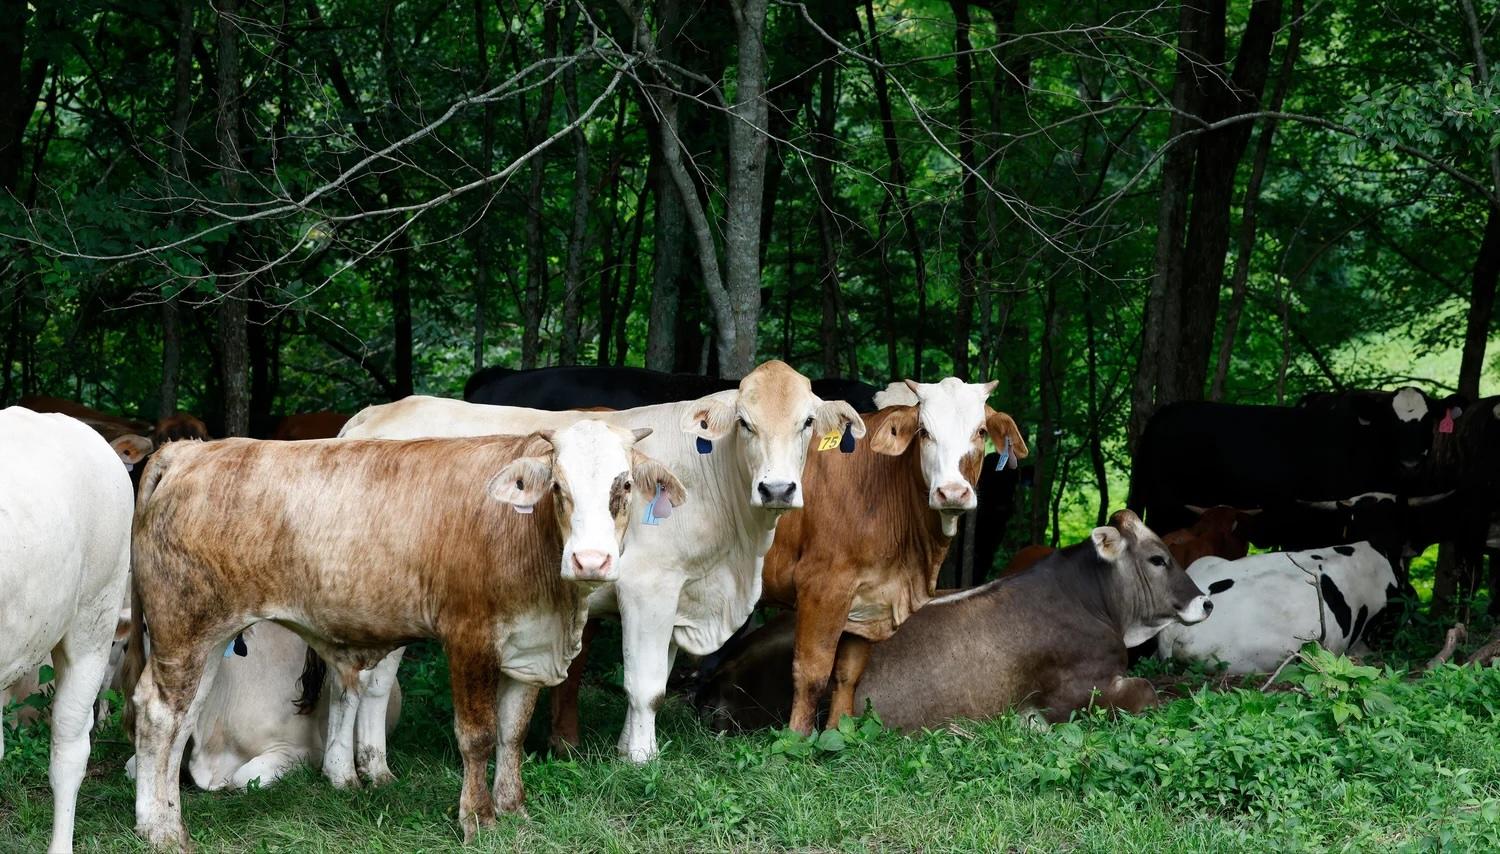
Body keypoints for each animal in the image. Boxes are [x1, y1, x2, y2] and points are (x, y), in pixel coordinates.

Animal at [123, 421, 687, 848]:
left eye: (624, 486)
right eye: (558, 487)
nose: (591, 560)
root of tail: (191, 451)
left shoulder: (528, 649)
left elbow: (512, 733)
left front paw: (513, 809)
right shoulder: (468, 638)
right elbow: (478, 736)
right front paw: (477, 819)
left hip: (206, 639)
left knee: (183, 719)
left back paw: (160, 815)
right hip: (185, 626)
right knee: (159, 715)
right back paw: (163, 831)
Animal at [327, 359, 864, 770]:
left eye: (807, 423)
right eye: (746, 423)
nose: (777, 488)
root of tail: (377, 414)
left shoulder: (678, 594)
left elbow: (658, 676)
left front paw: (628, 746)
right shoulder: (648, 588)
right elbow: (646, 684)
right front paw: (643, 759)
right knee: (373, 683)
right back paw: (372, 769)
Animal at [760, 378, 1030, 733]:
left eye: (981, 431)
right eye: (924, 431)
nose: (952, 492)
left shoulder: (869, 596)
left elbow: (848, 674)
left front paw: (837, 733)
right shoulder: (821, 586)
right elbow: (812, 673)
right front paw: (796, 739)